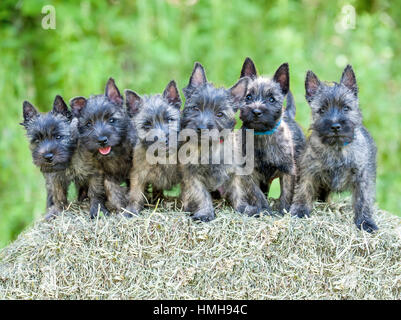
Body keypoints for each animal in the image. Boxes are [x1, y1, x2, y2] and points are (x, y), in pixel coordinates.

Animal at [69, 78, 137, 211]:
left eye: (111, 120)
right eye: (89, 124)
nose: (101, 140)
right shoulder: (103, 173)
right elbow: (110, 188)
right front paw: (119, 206)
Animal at [124, 80, 182, 216]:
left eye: (169, 119)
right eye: (147, 125)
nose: (164, 140)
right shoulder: (138, 174)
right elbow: (135, 193)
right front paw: (131, 210)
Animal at [178, 62, 266, 222]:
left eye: (220, 114)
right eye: (195, 108)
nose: (201, 128)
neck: (209, 147)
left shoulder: (236, 172)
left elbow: (239, 191)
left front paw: (243, 208)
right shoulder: (192, 176)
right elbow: (201, 194)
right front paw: (205, 213)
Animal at [288, 64, 378, 232]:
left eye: (346, 108)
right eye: (322, 110)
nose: (335, 126)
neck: (336, 148)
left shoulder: (362, 176)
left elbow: (363, 200)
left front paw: (366, 222)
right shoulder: (308, 171)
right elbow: (303, 190)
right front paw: (299, 211)